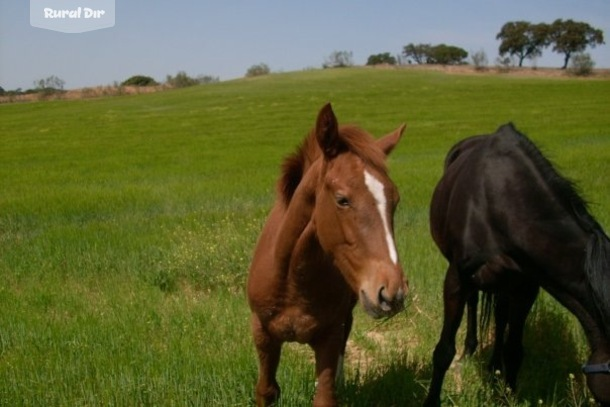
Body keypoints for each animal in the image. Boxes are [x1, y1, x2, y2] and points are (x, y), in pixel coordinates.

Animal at [247, 103, 408, 406]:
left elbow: (325, 394)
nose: (392, 292)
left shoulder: (329, 335)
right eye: (342, 200)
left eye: (395, 200)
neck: (293, 282)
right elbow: (266, 390)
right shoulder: (262, 332)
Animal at [422, 124, 608, 407]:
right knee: (474, 302)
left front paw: (505, 392)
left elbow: (514, 349)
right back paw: (470, 350)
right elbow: (443, 350)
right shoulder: (457, 277)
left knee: (500, 316)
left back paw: (493, 367)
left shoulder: (526, 287)